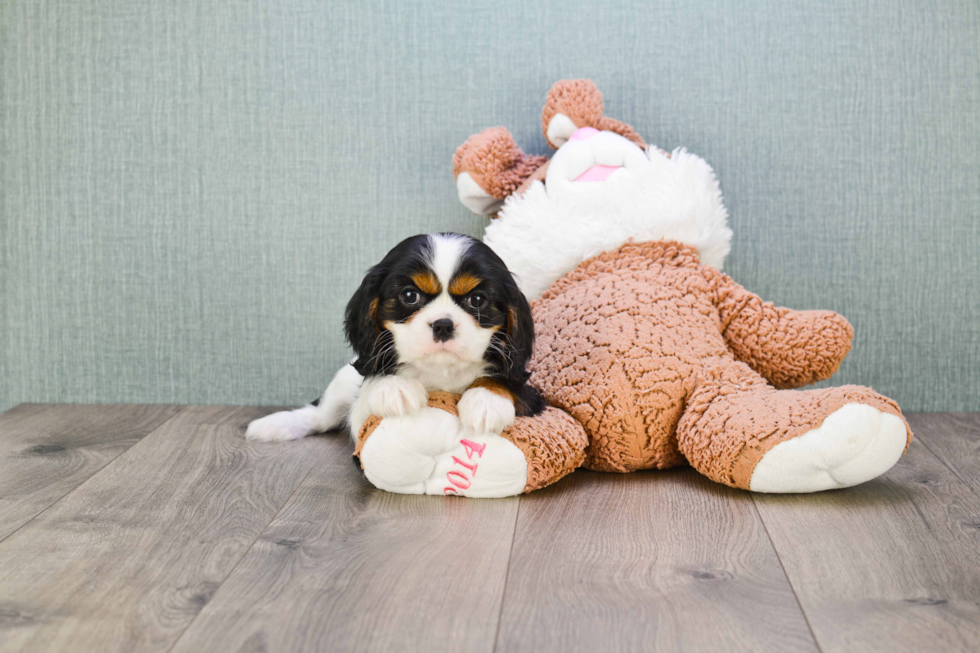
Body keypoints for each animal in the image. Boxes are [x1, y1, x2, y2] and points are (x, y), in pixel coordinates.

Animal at [245, 233, 544, 444]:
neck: (441, 372)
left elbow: (504, 382)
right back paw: (273, 425)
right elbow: (374, 384)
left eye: (478, 300)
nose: (443, 325)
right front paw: (394, 386)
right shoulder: (362, 412)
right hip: (341, 383)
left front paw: (486, 400)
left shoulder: (533, 398)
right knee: (320, 415)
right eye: (410, 295)